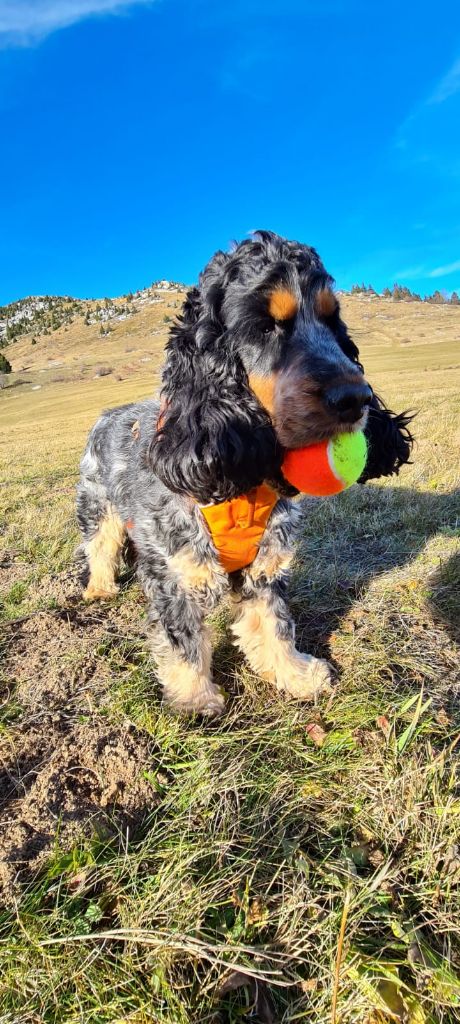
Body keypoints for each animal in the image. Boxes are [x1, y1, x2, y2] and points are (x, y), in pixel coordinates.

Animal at [76, 231, 411, 712]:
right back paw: (99, 588)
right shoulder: (178, 572)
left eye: (332, 321)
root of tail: (106, 415)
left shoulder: (265, 566)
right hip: (96, 506)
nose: (357, 398)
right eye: (265, 325)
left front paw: (295, 674)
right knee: (99, 548)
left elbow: (273, 624)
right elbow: (183, 642)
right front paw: (195, 700)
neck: (241, 485)